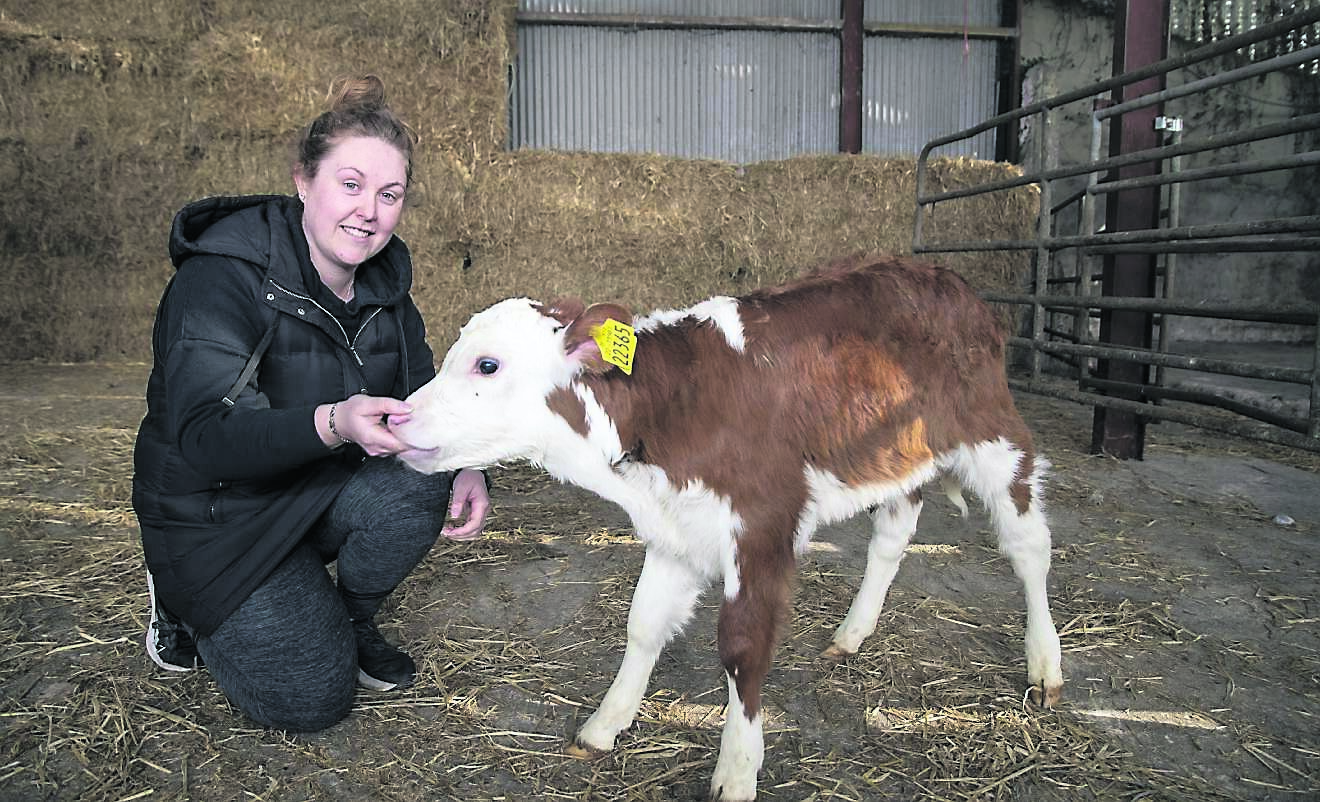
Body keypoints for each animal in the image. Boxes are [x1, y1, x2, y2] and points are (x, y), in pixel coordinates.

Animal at [390, 254, 1064, 801]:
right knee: (893, 538)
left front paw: (738, 770)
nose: (394, 419)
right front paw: (607, 723)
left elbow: (743, 650)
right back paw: (853, 632)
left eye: (487, 365)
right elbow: (643, 626)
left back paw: (1045, 665)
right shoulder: (675, 531)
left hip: (995, 436)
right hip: (898, 458)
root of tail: (945, 277)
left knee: (1030, 549)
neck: (669, 410)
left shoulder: (763, 526)